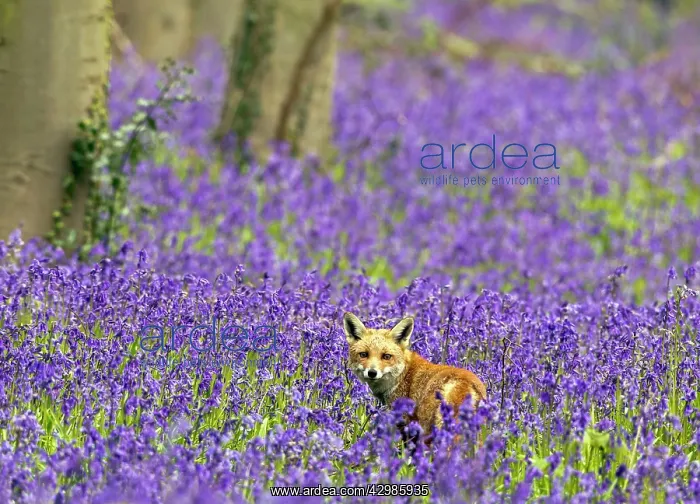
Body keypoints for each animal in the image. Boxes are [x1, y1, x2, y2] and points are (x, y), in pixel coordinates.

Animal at [343, 312, 487, 445]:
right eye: (363, 354)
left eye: (386, 356)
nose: (372, 372)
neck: (403, 374)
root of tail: (464, 383)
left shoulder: (405, 424)